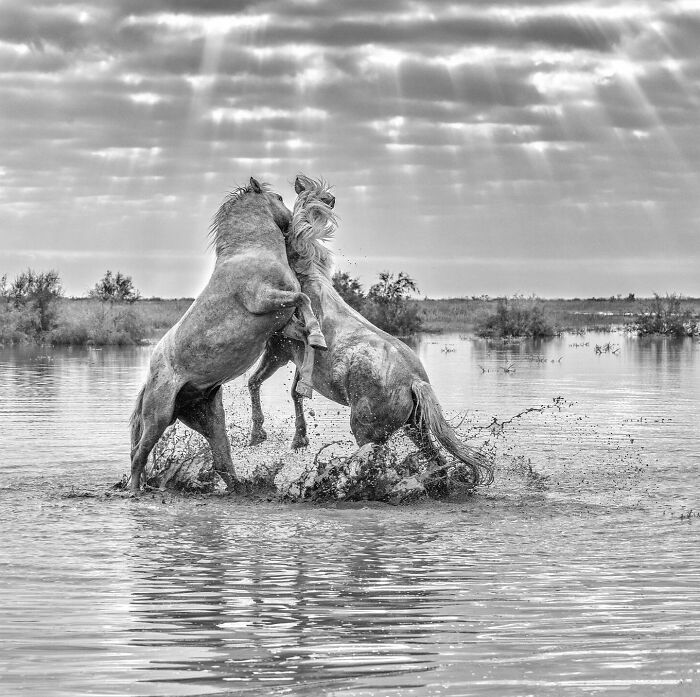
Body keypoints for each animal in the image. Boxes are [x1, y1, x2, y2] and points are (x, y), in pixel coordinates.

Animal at [129, 177, 326, 493]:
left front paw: (309, 372)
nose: (294, 225)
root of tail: (150, 379)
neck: (252, 251)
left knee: (222, 463)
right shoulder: (264, 300)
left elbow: (305, 332)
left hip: (209, 419)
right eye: (280, 197)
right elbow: (303, 299)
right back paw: (135, 490)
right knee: (139, 455)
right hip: (158, 416)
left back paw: (242, 486)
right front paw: (320, 338)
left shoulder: (280, 323)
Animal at [247, 175, 493, 488]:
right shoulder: (296, 361)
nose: (297, 179)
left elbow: (256, 383)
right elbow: (294, 393)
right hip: (415, 428)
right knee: (435, 459)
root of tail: (415, 382)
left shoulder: (278, 350)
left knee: (372, 461)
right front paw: (298, 440)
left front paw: (259, 436)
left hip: (366, 429)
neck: (306, 282)